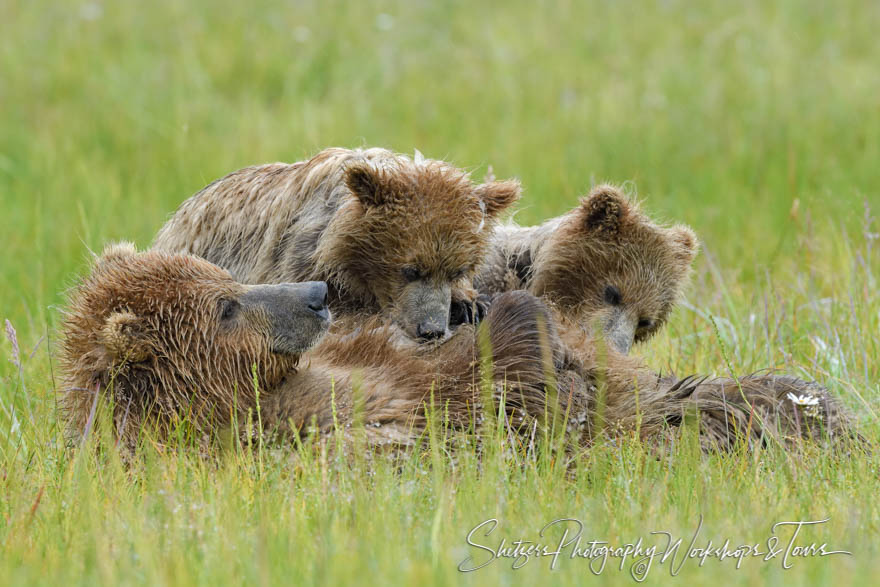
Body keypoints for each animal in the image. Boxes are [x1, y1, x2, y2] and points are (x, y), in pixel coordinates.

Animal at [58, 243, 856, 454]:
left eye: (225, 279)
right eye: (225, 307)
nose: (313, 294)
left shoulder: (359, 347)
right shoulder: (319, 429)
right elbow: (484, 400)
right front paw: (517, 320)